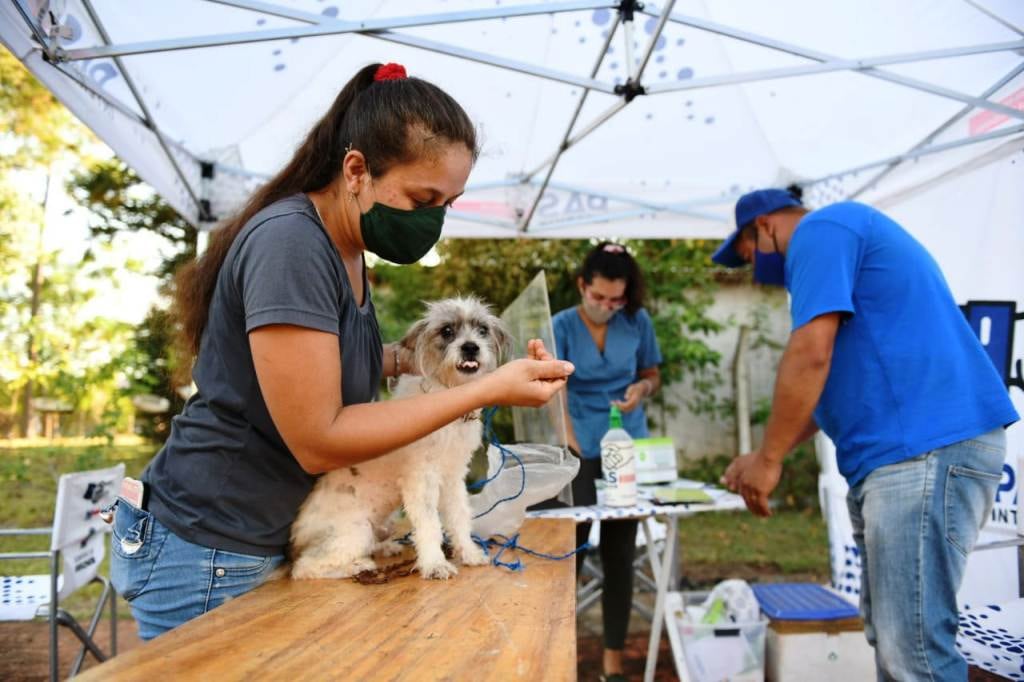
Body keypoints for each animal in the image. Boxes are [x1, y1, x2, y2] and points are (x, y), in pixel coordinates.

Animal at [288, 294, 512, 577]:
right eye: (446, 331)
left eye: (482, 330)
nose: (470, 347)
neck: (446, 390)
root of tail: (298, 535)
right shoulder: (422, 480)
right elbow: (429, 525)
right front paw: (435, 564)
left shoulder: (453, 477)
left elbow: (460, 516)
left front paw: (469, 552)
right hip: (355, 532)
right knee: (304, 568)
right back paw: (359, 565)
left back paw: (385, 547)